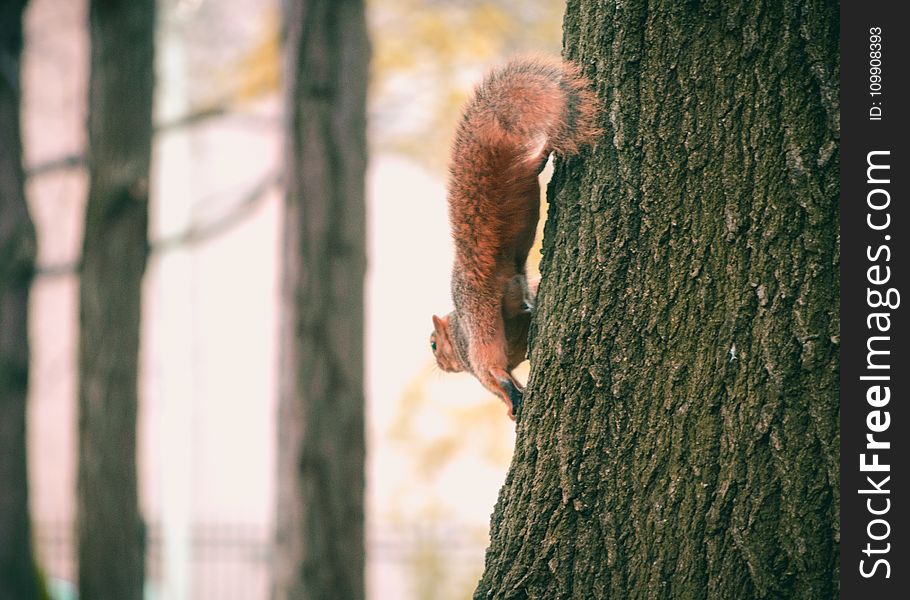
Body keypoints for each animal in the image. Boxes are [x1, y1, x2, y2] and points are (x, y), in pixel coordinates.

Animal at [432, 58, 604, 420]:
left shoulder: (471, 362)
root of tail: (481, 268)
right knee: (529, 169)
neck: (455, 332)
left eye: (433, 344)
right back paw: (544, 153)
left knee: (491, 365)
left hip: (481, 321)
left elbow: (493, 383)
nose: (440, 363)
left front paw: (511, 404)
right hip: (523, 189)